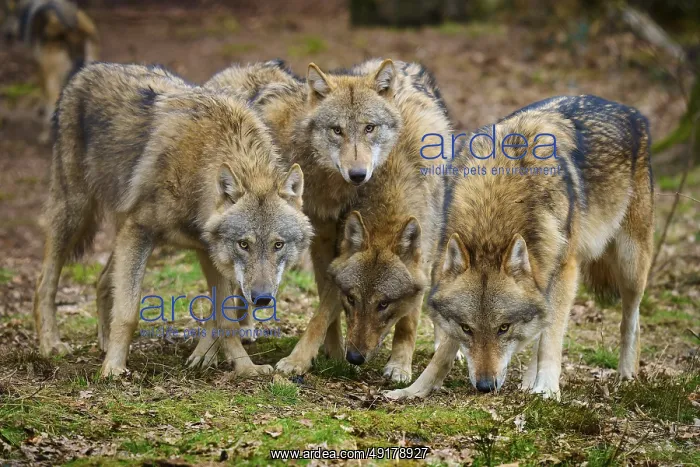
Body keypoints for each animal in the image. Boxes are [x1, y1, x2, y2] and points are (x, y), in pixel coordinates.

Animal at [33, 63, 313, 377]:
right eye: (244, 244)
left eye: (278, 245)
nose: (263, 298)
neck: (198, 164)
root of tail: (86, 71)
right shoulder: (140, 231)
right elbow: (128, 312)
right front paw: (113, 369)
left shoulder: (208, 252)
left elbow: (224, 318)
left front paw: (245, 367)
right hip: (75, 215)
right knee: (45, 282)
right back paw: (51, 344)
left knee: (103, 279)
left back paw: (103, 341)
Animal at [386, 95, 654, 400]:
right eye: (467, 328)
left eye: (504, 328)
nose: (485, 386)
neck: (493, 211)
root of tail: (628, 109)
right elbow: (444, 350)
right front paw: (414, 389)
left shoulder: (564, 269)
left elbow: (550, 339)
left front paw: (548, 388)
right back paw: (528, 381)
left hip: (630, 267)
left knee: (630, 322)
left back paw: (626, 374)